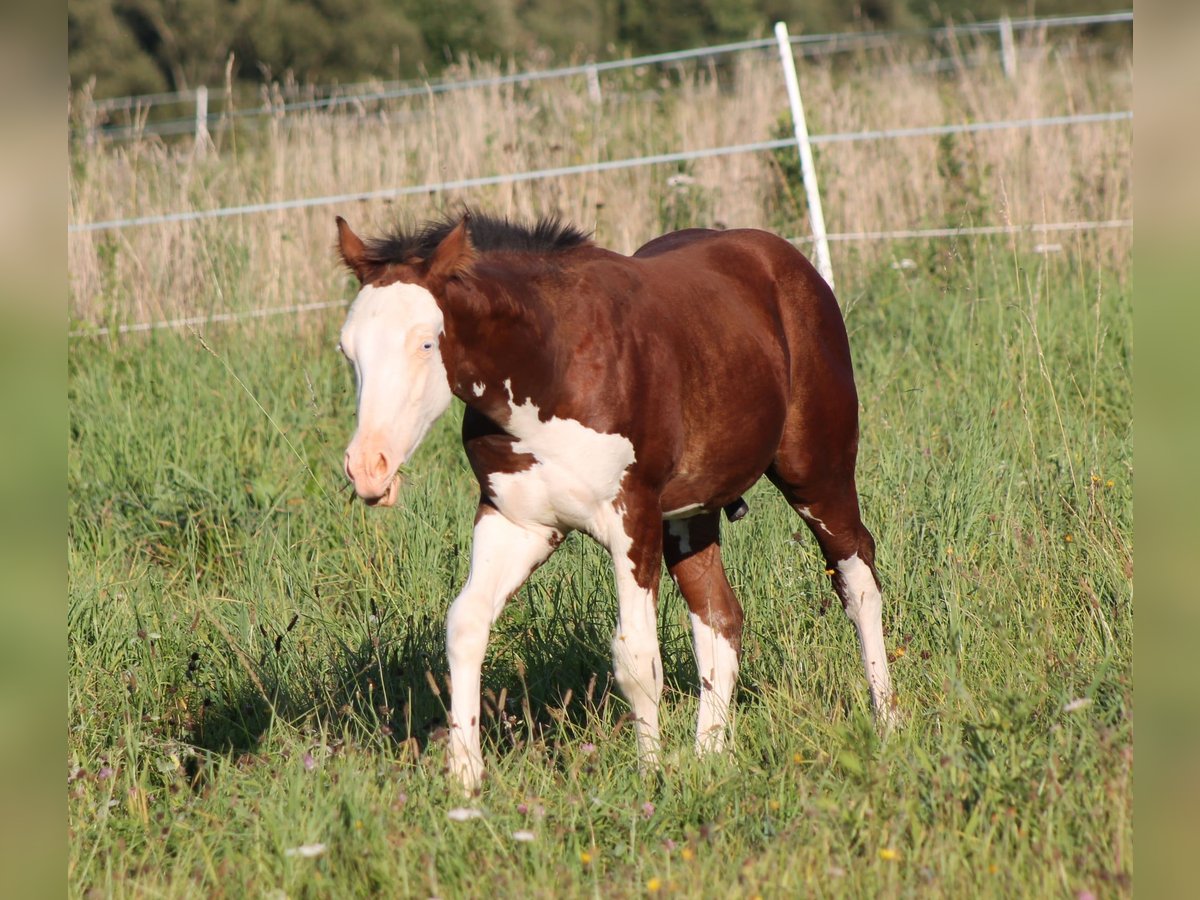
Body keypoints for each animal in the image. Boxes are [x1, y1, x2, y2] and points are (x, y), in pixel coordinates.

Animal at [334, 210, 895, 791]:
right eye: (347, 349)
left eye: (425, 343)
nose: (368, 467)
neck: (552, 363)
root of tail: (790, 263)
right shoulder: (517, 521)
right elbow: (466, 625)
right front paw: (465, 777)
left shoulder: (633, 518)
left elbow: (637, 657)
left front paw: (651, 777)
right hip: (691, 516)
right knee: (720, 615)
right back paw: (709, 755)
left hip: (817, 473)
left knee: (858, 579)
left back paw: (886, 722)